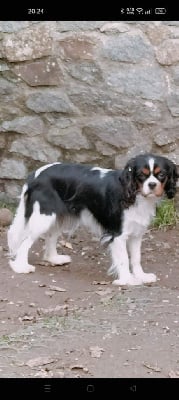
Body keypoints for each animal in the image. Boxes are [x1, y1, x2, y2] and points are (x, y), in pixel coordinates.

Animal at [6, 153, 178, 284]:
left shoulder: (136, 234)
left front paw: (141, 276)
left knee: (51, 236)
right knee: (25, 241)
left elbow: (136, 258)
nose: (152, 184)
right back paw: (21, 267)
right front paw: (128, 280)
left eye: (161, 175)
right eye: (141, 175)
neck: (134, 195)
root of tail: (35, 175)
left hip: (59, 215)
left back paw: (53, 259)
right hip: (44, 216)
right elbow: (123, 259)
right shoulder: (117, 234)